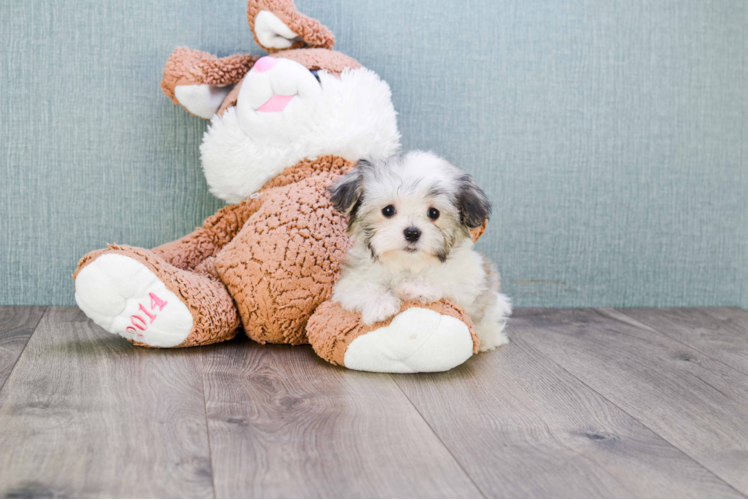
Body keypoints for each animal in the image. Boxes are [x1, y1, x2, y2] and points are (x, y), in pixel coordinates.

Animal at [330, 151, 512, 352]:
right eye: (388, 210)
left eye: (434, 213)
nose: (412, 232)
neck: (409, 263)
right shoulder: (350, 280)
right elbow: (359, 287)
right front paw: (381, 305)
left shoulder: (469, 280)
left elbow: (443, 281)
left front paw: (410, 287)